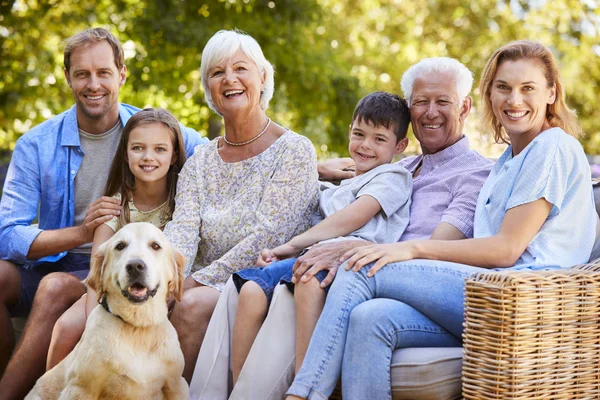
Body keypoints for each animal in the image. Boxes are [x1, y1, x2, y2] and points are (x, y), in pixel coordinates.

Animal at [26, 222, 188, 400]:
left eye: (155, 246)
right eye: (120, 246)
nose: (135, 266)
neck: (136, 327)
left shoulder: (176, 385)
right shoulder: (81, 388)